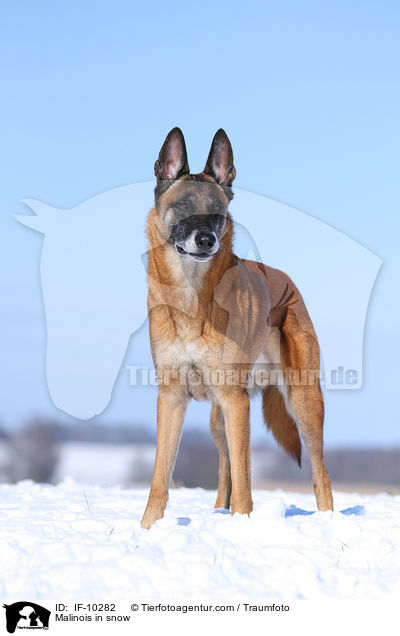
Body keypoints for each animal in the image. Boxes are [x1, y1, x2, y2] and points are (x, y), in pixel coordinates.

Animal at [142, 126, 332, 528]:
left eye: (217, 213)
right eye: (184, 207)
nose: (205, 241)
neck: (192, 296)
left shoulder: (235, 401)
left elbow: (246, 482)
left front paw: (242, 525)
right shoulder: (172, 398)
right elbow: (160, 476)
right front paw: (147, 529)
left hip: (303, 402)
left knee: (319, 473)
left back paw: (328, 520)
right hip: (220, 418)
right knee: (226, 467)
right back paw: (218, 510)